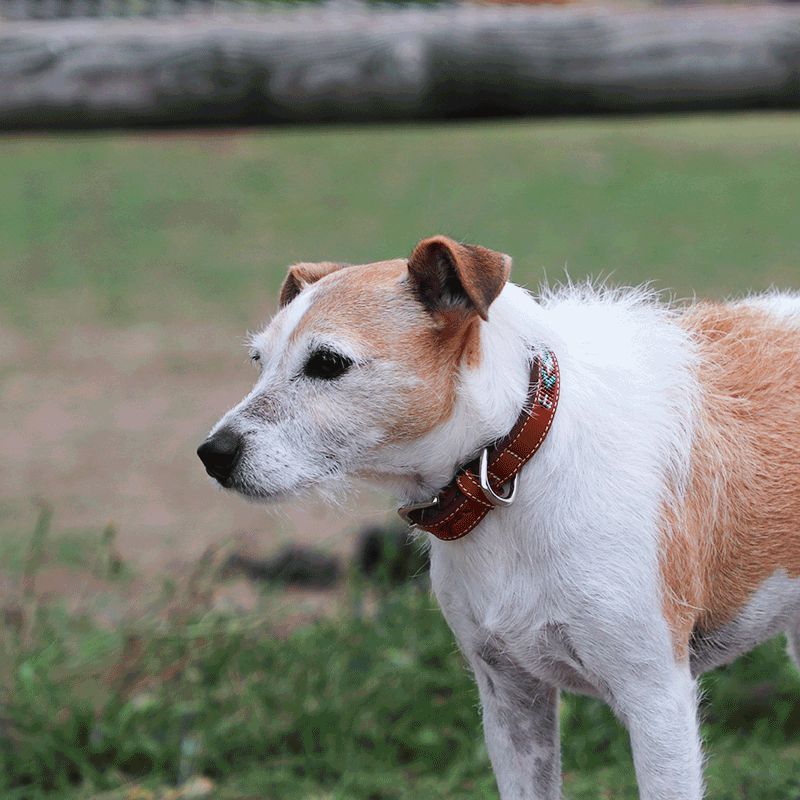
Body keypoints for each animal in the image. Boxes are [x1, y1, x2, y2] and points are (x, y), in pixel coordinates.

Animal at [198, 236, 800, 800]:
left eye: (327, 362)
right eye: (258, 361)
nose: (212, 454)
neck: (511, 455)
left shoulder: (656, 702)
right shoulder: (512, 700)